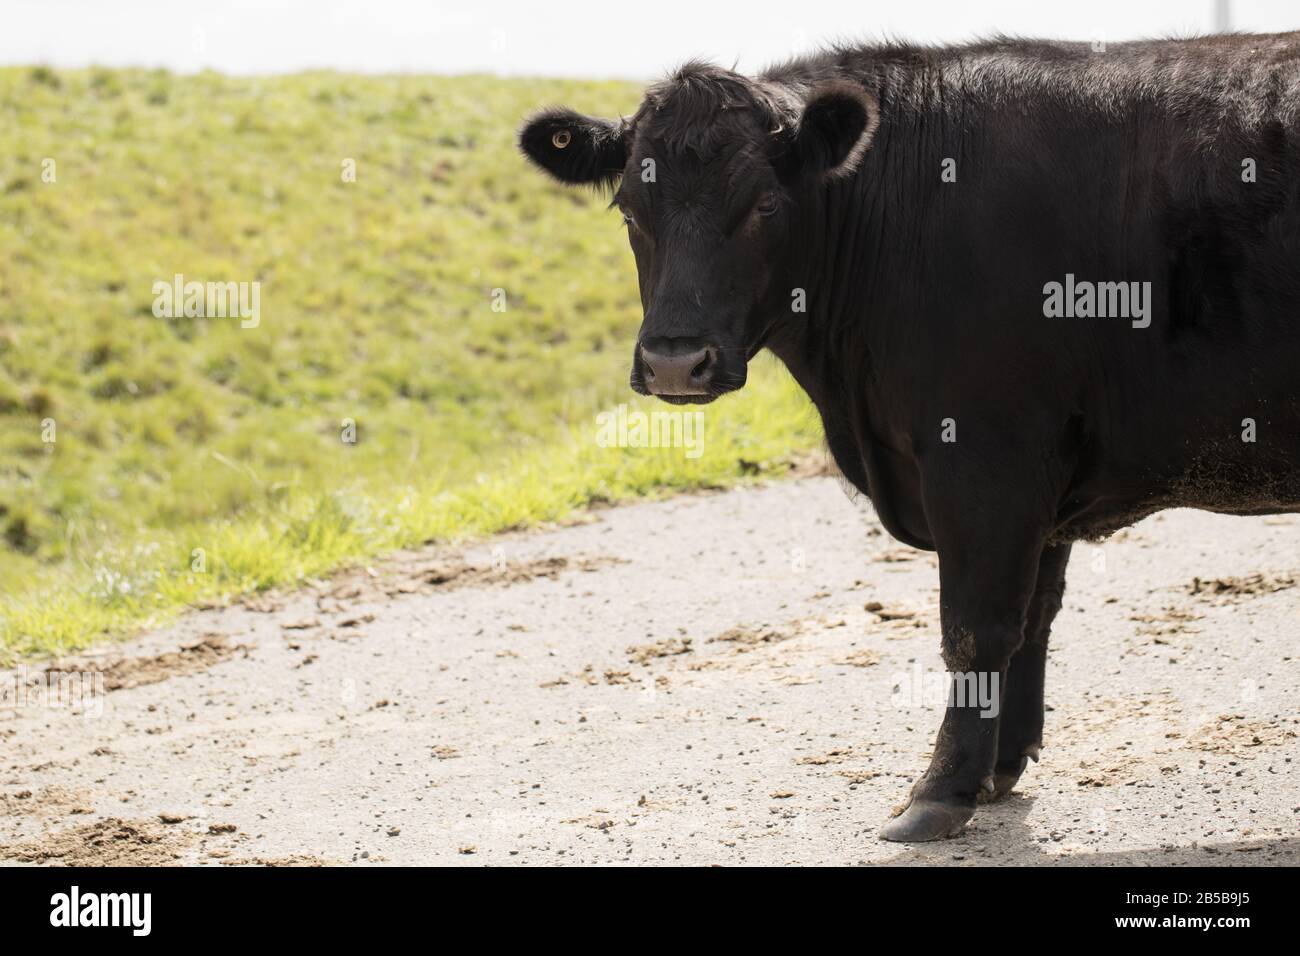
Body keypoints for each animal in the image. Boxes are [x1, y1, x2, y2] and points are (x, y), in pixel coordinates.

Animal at [517, 35, 1300, 842]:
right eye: (629, 208)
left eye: (764, 204)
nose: (675, 360)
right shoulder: (1040, 477)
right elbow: (1032, 618)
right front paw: (1000, 766)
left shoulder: (988, 456)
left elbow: (978, 626)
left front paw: (941, 790)